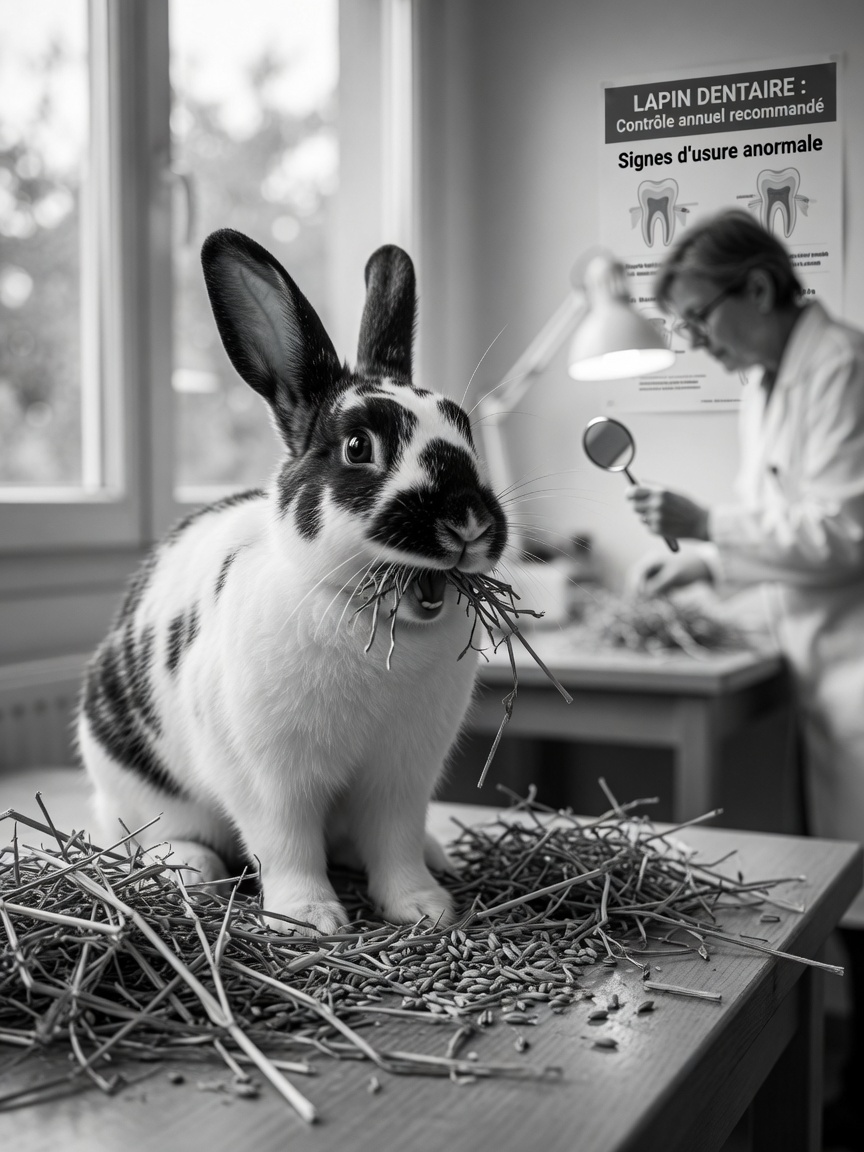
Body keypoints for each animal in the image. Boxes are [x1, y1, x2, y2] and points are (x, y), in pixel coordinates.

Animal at [76, 228, 508, 936]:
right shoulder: (270, 780)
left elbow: (394, 843)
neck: (370, 623)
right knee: (150, 834)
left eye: (464, 428)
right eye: (359, 447)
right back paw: (190, 867)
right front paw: (312, 919)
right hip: (134, 783)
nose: (468, 519)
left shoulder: (401, 777)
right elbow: (287, 846)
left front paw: (424, 908)